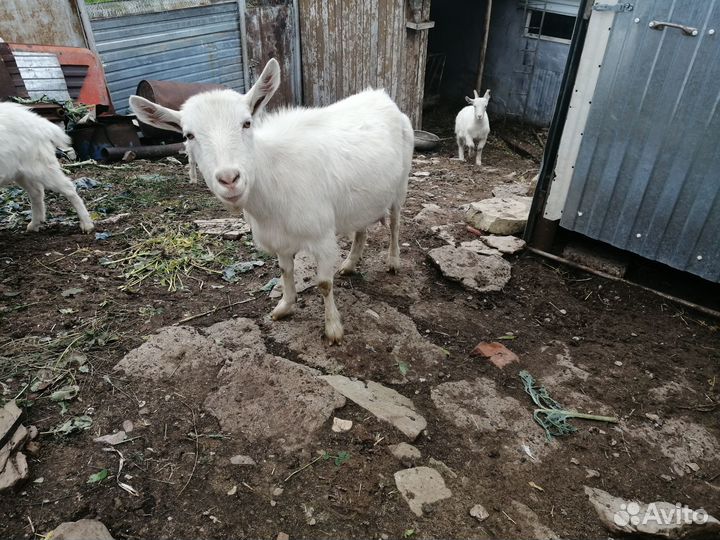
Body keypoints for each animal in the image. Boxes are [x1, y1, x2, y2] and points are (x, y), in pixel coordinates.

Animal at [0, 102, 94, 233]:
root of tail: (40, 123)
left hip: (42, 167)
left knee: (68, 188)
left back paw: (87, 224)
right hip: (22, 172)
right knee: (37, 192)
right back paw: (34, 224)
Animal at [129, 59, 414, 343]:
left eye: (246, 123)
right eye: (188, 135)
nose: (229, 178)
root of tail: (380, 95)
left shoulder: (322, 236)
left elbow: (324, 284)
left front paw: (333, 329)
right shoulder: (279, 238)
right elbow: (285, 271)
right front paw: (284, 308)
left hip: (400, 185)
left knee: (396, 223)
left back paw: (393, 262)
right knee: (361, 227)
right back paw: (350, 264)